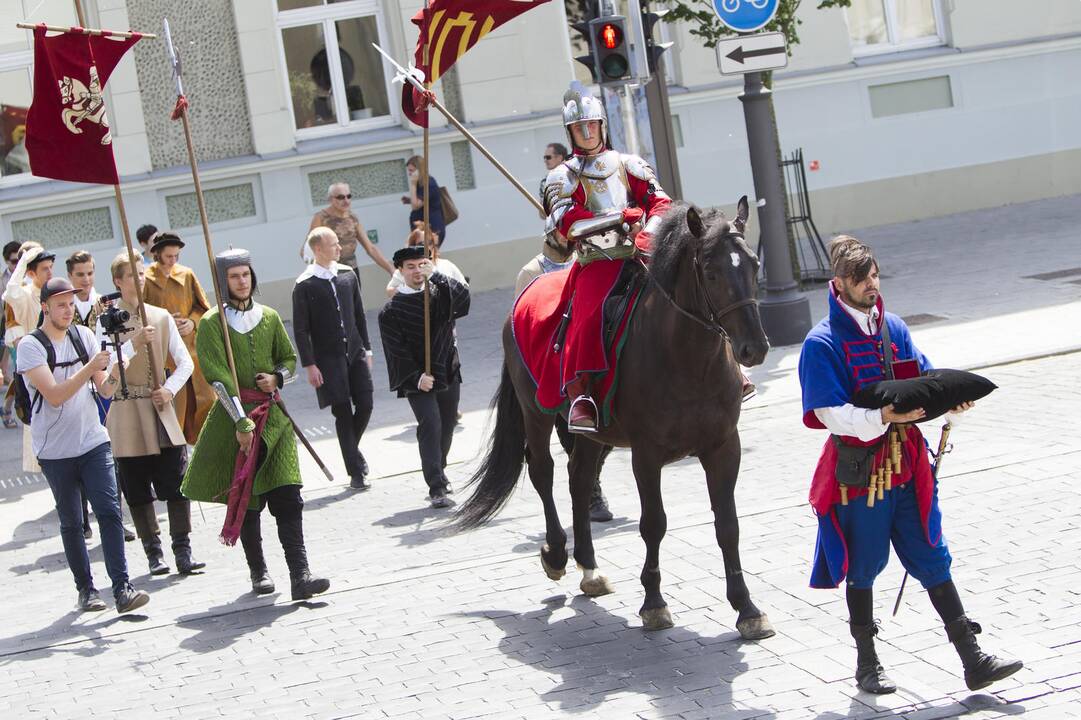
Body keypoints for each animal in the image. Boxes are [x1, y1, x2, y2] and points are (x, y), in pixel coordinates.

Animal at [456, 198, 778, 635]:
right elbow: (653, 523)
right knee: (543, 472)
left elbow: (728, 525)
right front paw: (654, 603)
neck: (687, 359)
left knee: (578, 479)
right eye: (711, 271)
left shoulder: (724, 447)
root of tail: (525, 294)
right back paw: (556, 554)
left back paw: (589, 569)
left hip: (592, 433)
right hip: (535, 411)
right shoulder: (647, 454)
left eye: (753, 264)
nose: (754, 348)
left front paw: (746, 608)